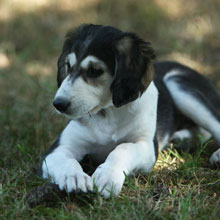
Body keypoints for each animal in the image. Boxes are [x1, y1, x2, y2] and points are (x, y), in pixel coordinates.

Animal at [39, 23, 220, 198]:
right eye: (68, 66)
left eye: (95, 71)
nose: (58, 104)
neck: (109, 113)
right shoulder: (56, 150)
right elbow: (66, 161)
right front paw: (74, 177)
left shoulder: (146, 146)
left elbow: (122, 149)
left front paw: (108, 176)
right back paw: (181, 139)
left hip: (178, 85)